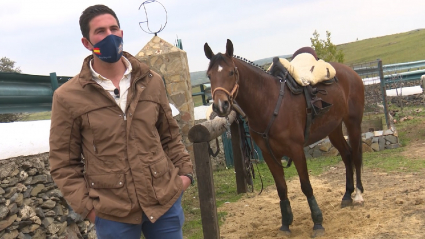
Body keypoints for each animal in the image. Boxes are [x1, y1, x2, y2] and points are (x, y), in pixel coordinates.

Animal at [204, 39, 362, 237]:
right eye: (209, 75)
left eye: (231, 72)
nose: (220, 106)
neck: (268, 102)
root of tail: (350, 72)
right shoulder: (269, 155)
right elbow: (281, 188)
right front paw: (286, 223)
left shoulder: (296, 150)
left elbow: (306, 186)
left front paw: (317, 222)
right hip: (333, 128)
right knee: (347, 155)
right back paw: (347, 195)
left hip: (353, 123)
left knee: (356, 155)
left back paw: (358, 195)